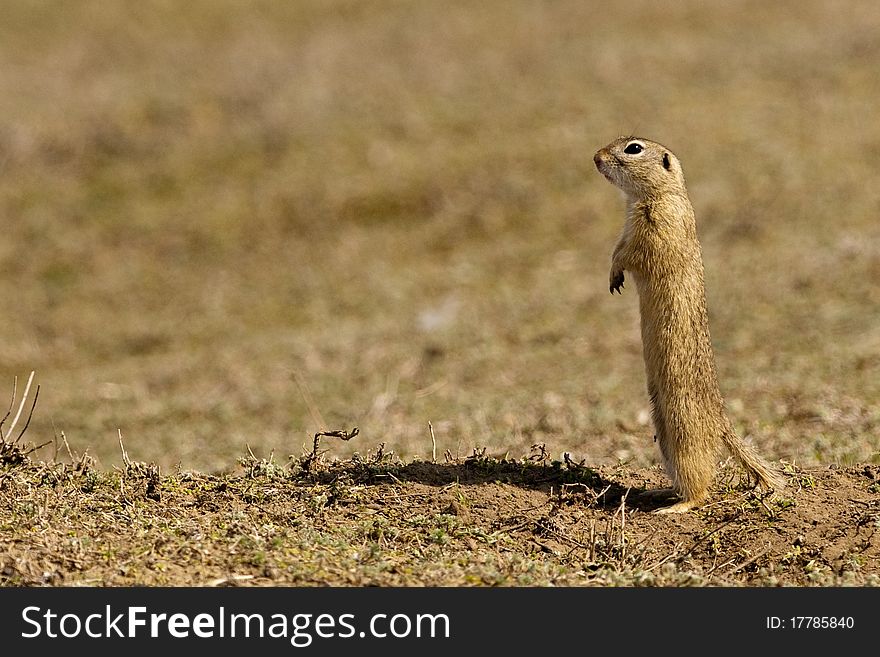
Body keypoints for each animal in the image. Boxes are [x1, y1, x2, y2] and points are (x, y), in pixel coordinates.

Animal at [596, 135, 780, 512]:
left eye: (633, 148)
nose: (596, 157)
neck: (657, 195)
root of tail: (722, 422)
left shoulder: (656, 228)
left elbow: (631, 253)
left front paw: (616, 274)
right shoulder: (628, 227)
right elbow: (617, 247)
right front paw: (612, 279)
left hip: (683, 430)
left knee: (701, 487)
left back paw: (674, 508)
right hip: (663, 429)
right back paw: (658, 493)